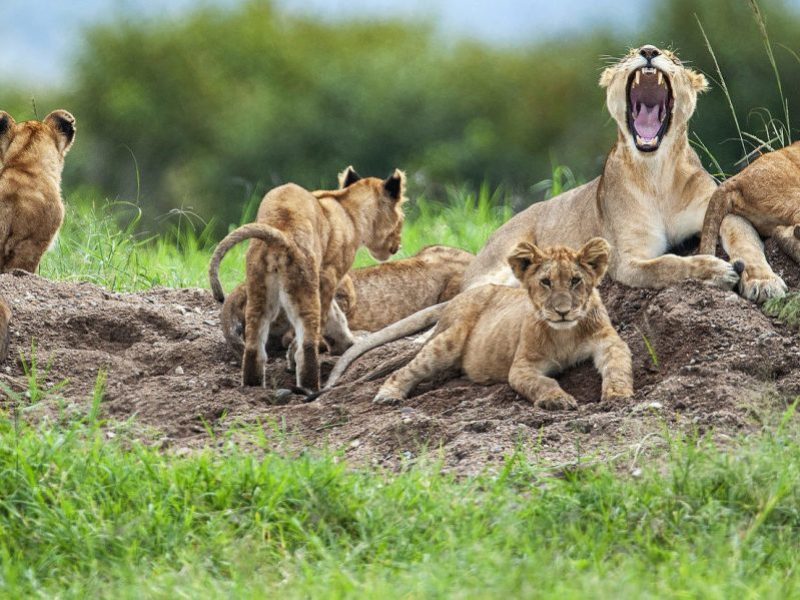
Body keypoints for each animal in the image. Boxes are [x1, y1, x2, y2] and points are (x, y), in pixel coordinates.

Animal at [208, 167, 407, 390]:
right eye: (401, 219)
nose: (398, 245)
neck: (349, 208)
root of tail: (280, 234)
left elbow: (335, 316)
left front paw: (347, 343)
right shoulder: (329, 275)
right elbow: (327, 315)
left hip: (259, 293)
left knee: (254, 346)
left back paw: (253, 387)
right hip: (303, 286)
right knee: (307, 344)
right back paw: (309, 387)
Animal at [324, 44, 784, 389]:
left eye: (670, 55)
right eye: (630, 54)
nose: (649, 52)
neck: (655, 171)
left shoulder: (719, 207)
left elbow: (745, 239)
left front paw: (763, 281)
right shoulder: (627, 259)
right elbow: (670, 263)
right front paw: (715, 269)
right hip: (498, 270)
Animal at [373, 238, 633, 409]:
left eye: (575, 280)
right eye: (546, 282)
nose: (563, 312)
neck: (565, 333)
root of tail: (457, 299)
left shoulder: (609, 342)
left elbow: (618, 366)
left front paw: (618, 395)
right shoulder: (522, 366)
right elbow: (543, 382)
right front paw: (557, 400)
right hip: (448, 341)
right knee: (410, 368)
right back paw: (388, 393)